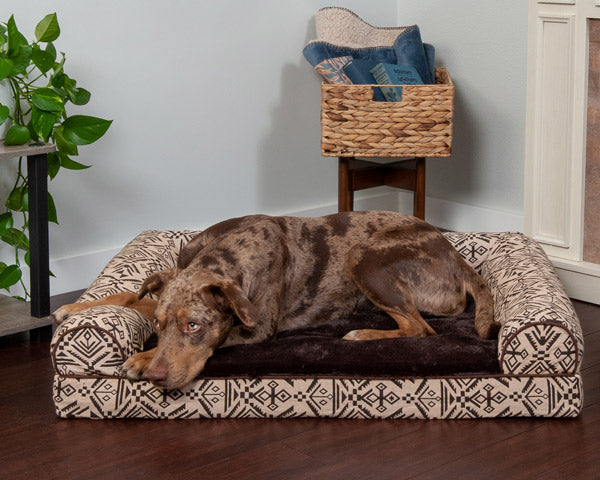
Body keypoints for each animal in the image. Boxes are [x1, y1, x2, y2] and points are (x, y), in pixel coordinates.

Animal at [54, 213, 500, 390]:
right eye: (160, 326)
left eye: (193, 326)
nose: (159, 378)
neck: (225, 253)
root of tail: (457, 256)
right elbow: (131, 295)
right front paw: (74, 307)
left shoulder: (258, 329)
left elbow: (219, 338)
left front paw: (142, 359)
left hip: (365, 258)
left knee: (419, 328)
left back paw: (361, 335)